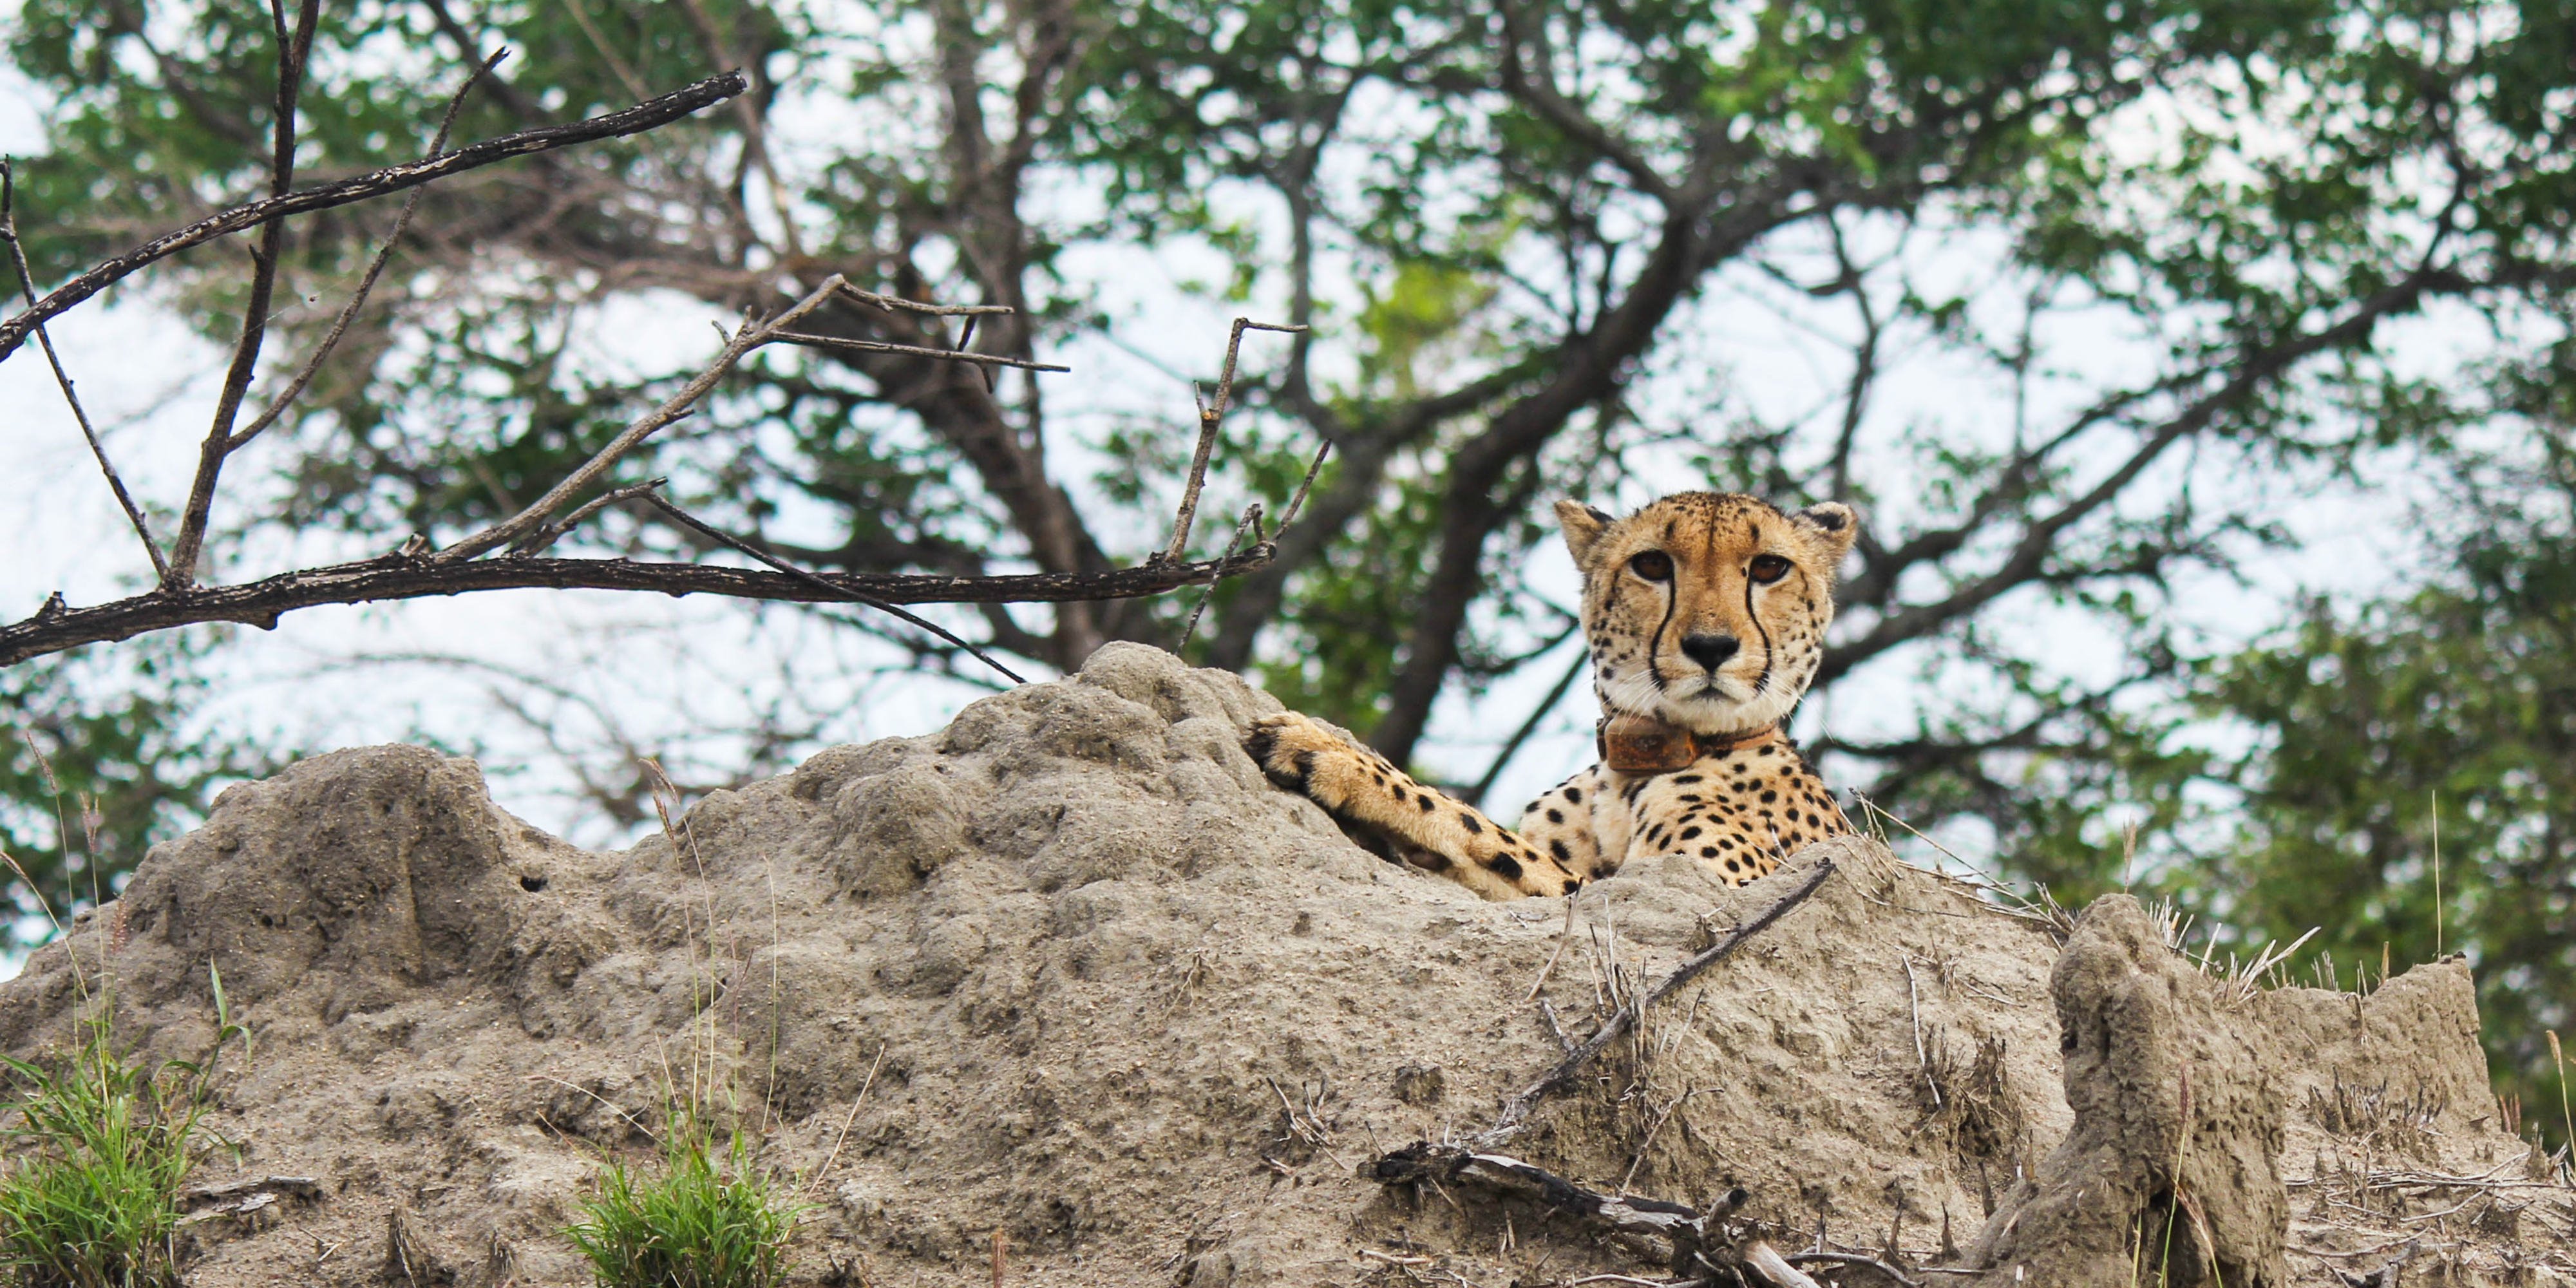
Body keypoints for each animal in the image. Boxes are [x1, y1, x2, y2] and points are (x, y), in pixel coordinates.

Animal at [1242, 487, 1865, 902]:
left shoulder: (1702, 889)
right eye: (1651, 564)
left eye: (1770, 568)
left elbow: (1482, 830)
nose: (1711, 647)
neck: (1634, 766)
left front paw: (1331, 755)